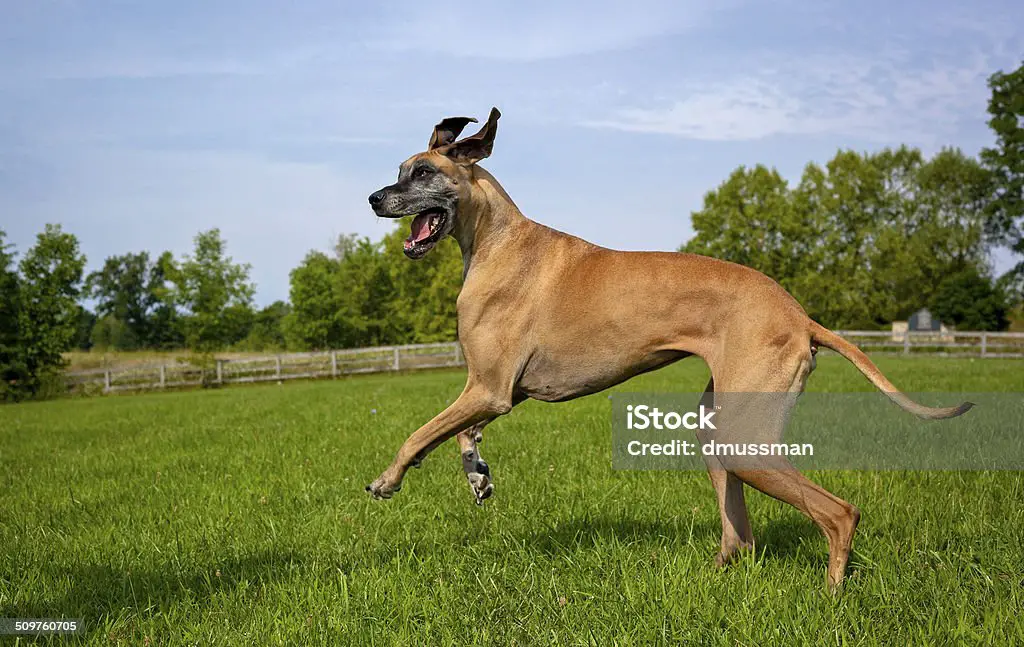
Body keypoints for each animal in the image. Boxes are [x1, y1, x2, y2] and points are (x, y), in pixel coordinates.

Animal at [364, 108, 970, 589]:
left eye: (423, 172)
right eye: (399, 171)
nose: (373, 198)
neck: (497, 240)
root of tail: (800, 315)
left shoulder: (489, 388)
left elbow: (417, 435)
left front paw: (388, 480)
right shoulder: (497, 391)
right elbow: (461, 434)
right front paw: (478, 474)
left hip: (746, 443)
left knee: (840, 513)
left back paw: (832, 594)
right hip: (718, 429)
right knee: (741, 536)